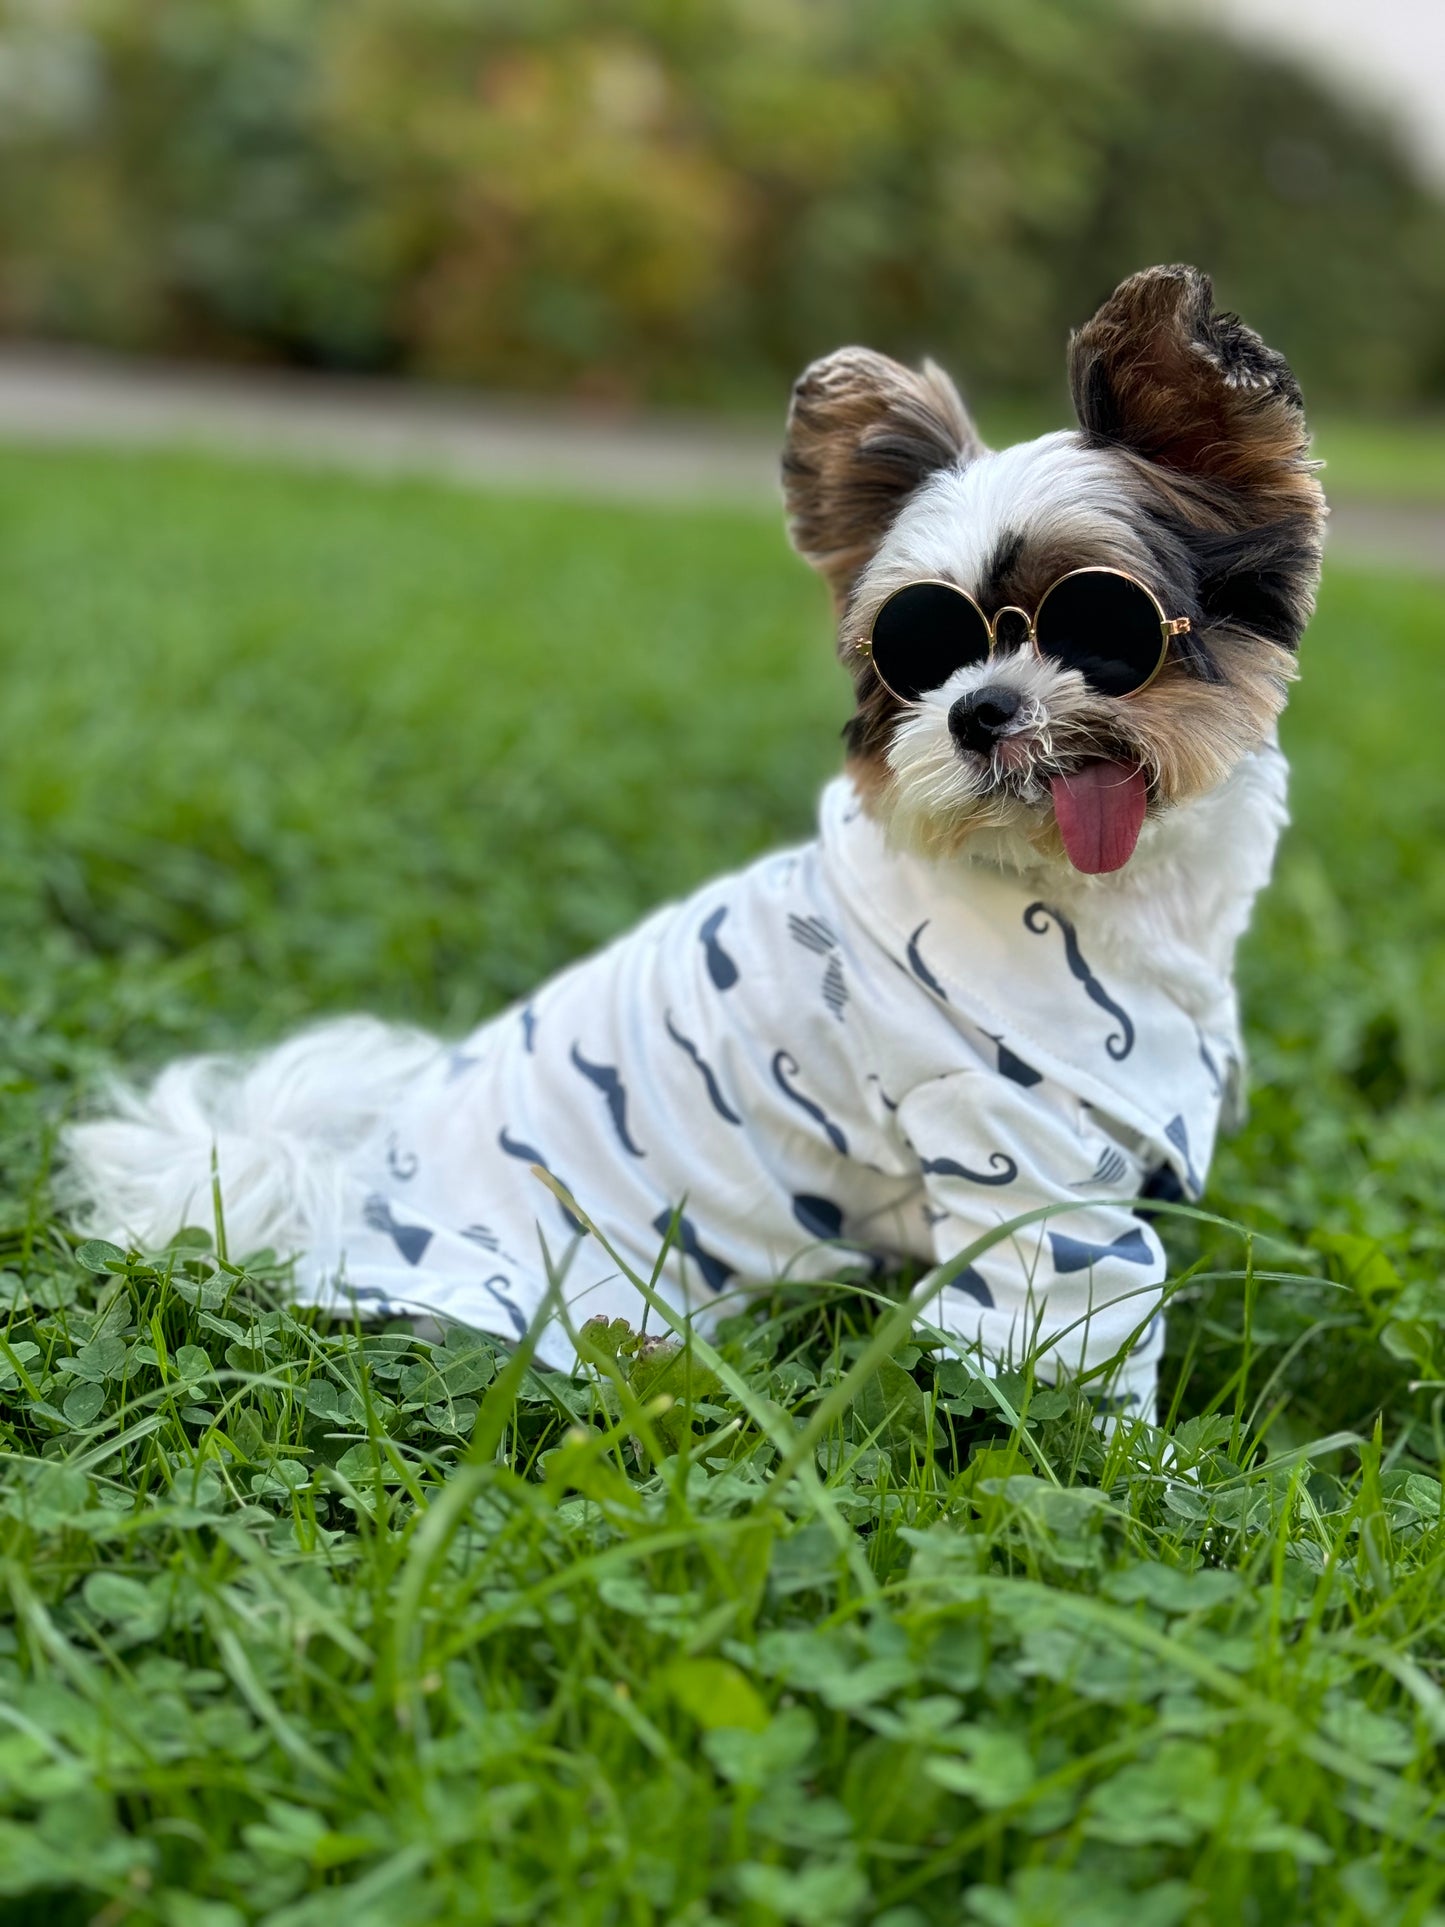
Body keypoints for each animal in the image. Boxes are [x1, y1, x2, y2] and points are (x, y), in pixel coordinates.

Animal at [62, 267, 1333, 1418]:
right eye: (914, 651)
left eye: (1095, 622)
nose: (975, 710)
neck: (1080, 894)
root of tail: (329, 1175)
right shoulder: (1013, 1161)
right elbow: (1071, 1353)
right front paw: (1133, 1467)